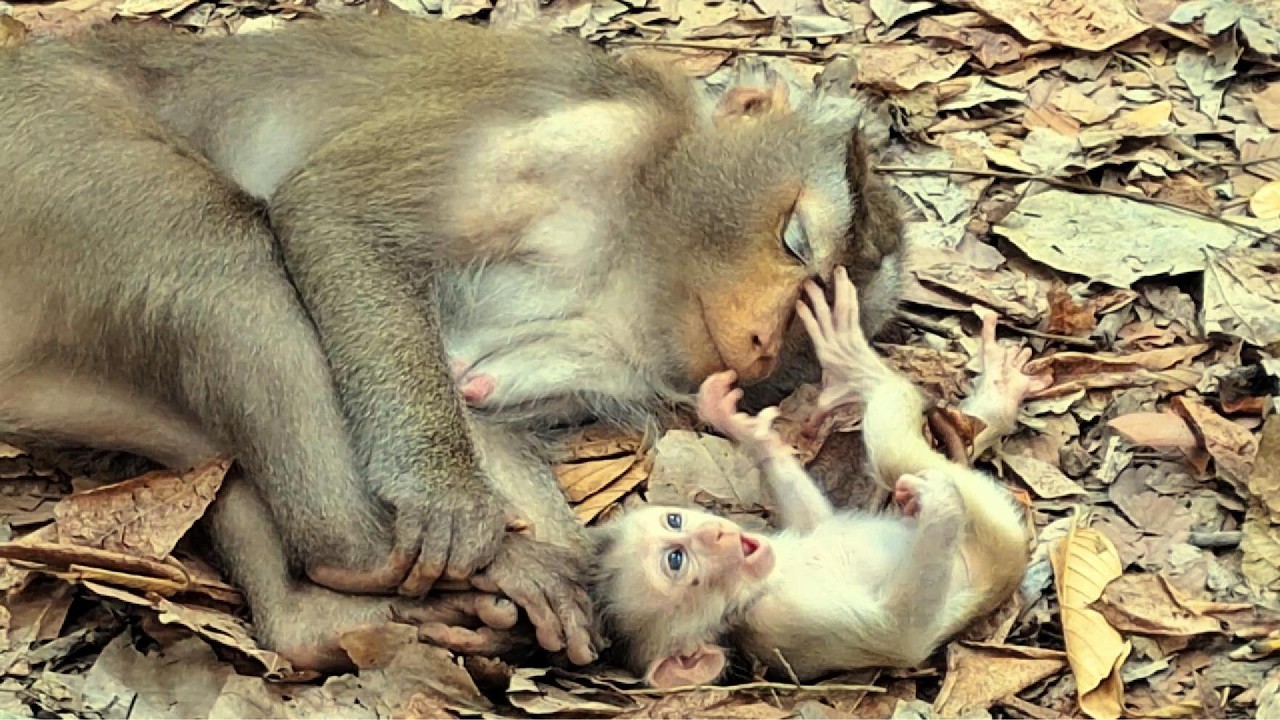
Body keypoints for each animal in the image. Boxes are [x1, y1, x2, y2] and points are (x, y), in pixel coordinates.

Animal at [0, 15, 906, 670]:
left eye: (811, 316)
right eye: (793, 241)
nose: (761, 344)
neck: (638, 236)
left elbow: (474, 392)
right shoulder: (591, 134)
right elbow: (335, 213)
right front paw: (453, 505)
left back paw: (314, 621)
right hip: (51, 149)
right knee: (225, 256)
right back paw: (360, 549)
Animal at [587, 267, 1046, 687]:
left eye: (674, 519)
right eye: (676, 560)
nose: (716, 533)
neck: (768, 581)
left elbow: (816, 520)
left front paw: (742, 427)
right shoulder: (778, 621)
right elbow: (903, 634)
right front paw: (939, 506)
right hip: (999, 531)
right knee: (895, 450)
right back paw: (861, 370)